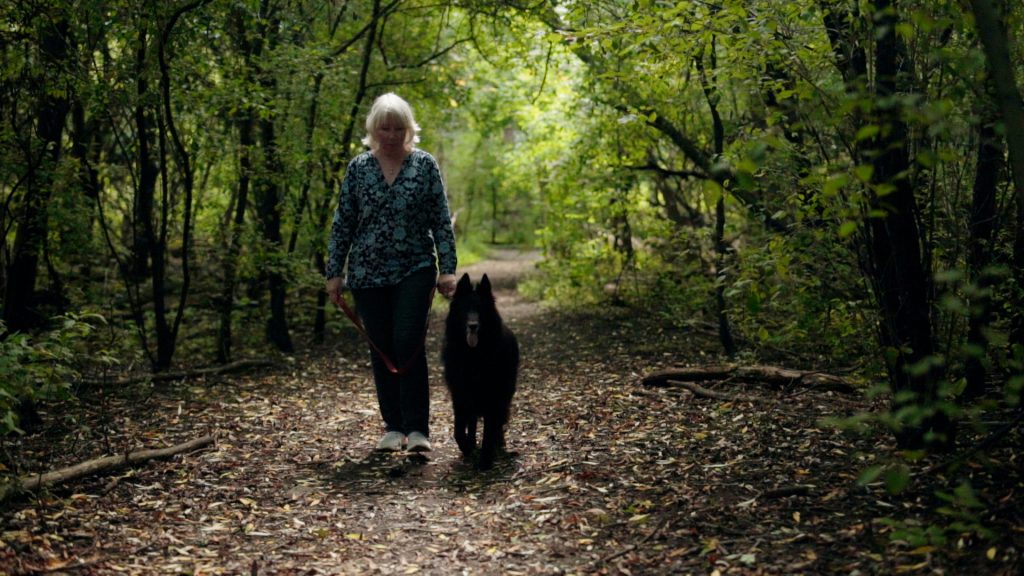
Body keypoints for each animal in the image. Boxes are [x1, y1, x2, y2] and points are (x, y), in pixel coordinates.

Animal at [442, 272, 520, 467]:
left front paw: (485, 459)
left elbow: (489, 429)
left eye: (481, 309)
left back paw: (498, 443)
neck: (473, 355)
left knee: (498, 422)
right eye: (464, 309)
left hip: (503, 395)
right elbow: (459, 430)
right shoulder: (460, 395)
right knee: (473, 421)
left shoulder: (492, 395)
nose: (473, 325)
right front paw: (466, 447)